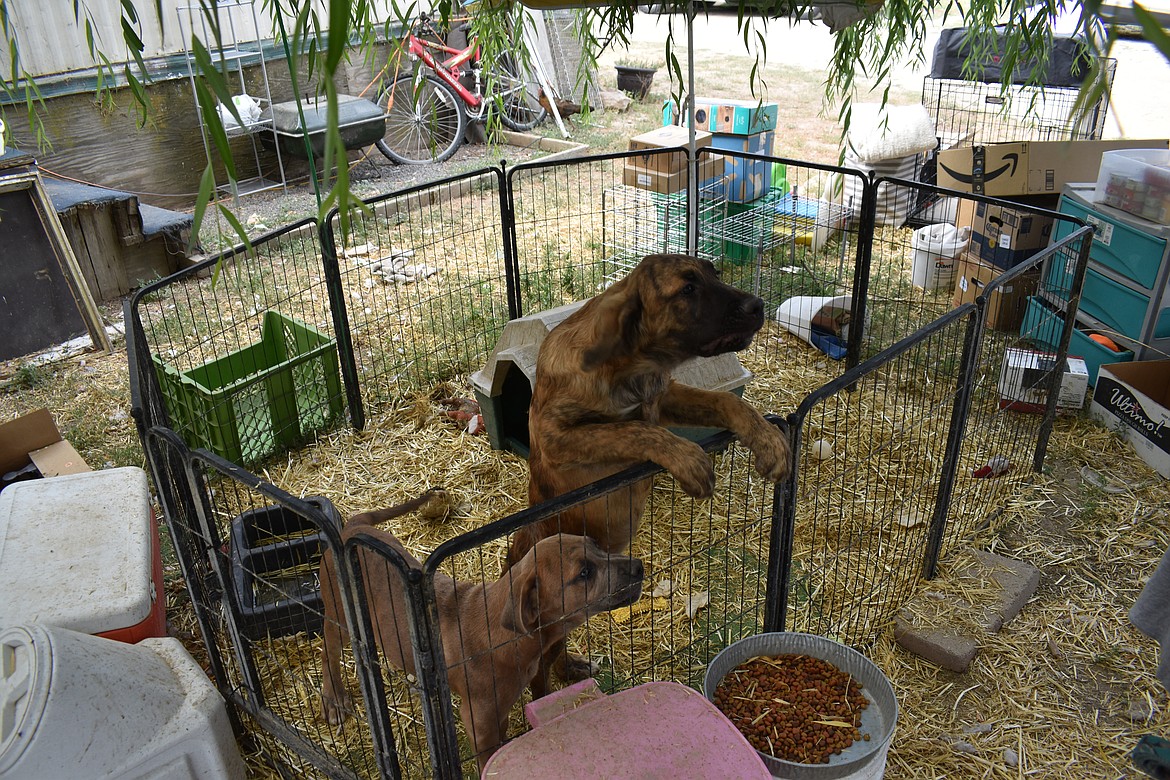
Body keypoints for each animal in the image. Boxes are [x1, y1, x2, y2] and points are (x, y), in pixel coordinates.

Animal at [507, 251, 790, 696]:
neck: (632, 366)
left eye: (713, 274)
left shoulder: (666, 393)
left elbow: (726, 401)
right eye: (688, 288)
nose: (758, 305)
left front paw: (768, 440)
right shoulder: (556, 435)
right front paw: (690, 459)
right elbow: (634, 429)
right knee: (537, 674)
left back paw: (571, 669)